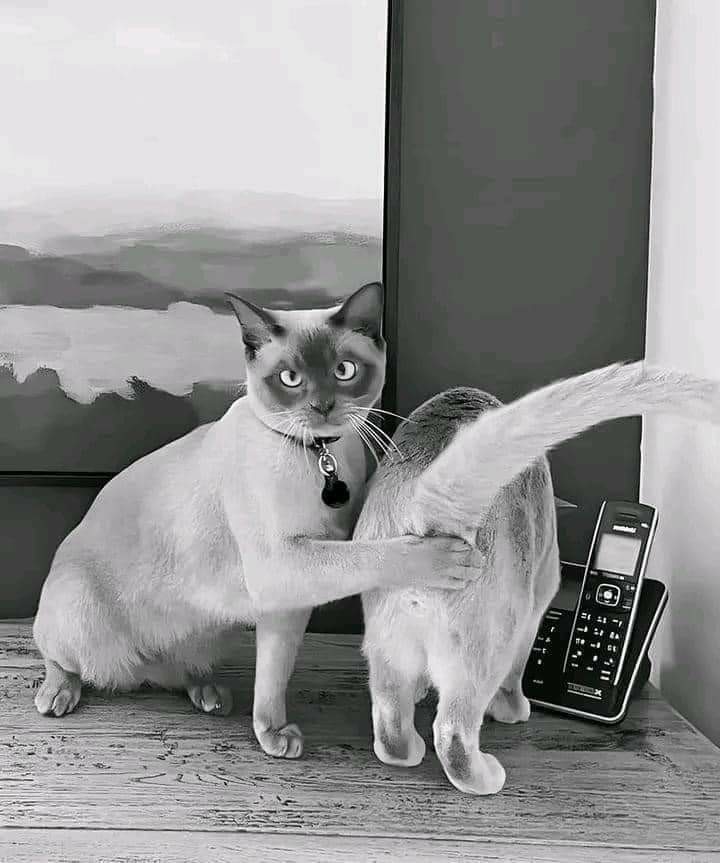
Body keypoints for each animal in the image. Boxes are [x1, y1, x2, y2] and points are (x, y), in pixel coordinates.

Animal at [33, 280, 484, 760]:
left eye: (344, 370)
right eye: (290, 379)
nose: (323, 407)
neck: (320, 456)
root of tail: (135, 669)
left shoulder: (287, 603)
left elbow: (273, 674)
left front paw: (271, 733)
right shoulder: (282, 565)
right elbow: (372, 556)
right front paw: (450, 560)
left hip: (210, 632)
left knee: (176, 672)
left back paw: (208, 693)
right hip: (82, 619)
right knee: (58, 655)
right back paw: (57, 694)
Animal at [354, 360, 720, 796]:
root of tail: (428, 521)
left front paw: (424, 689)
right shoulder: (537, 608)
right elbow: (517, 677)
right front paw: (515, 710)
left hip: (389, 644)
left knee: (391, 718)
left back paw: (408, 749)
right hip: (494, 640)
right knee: (454, 731)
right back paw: (485, 775)